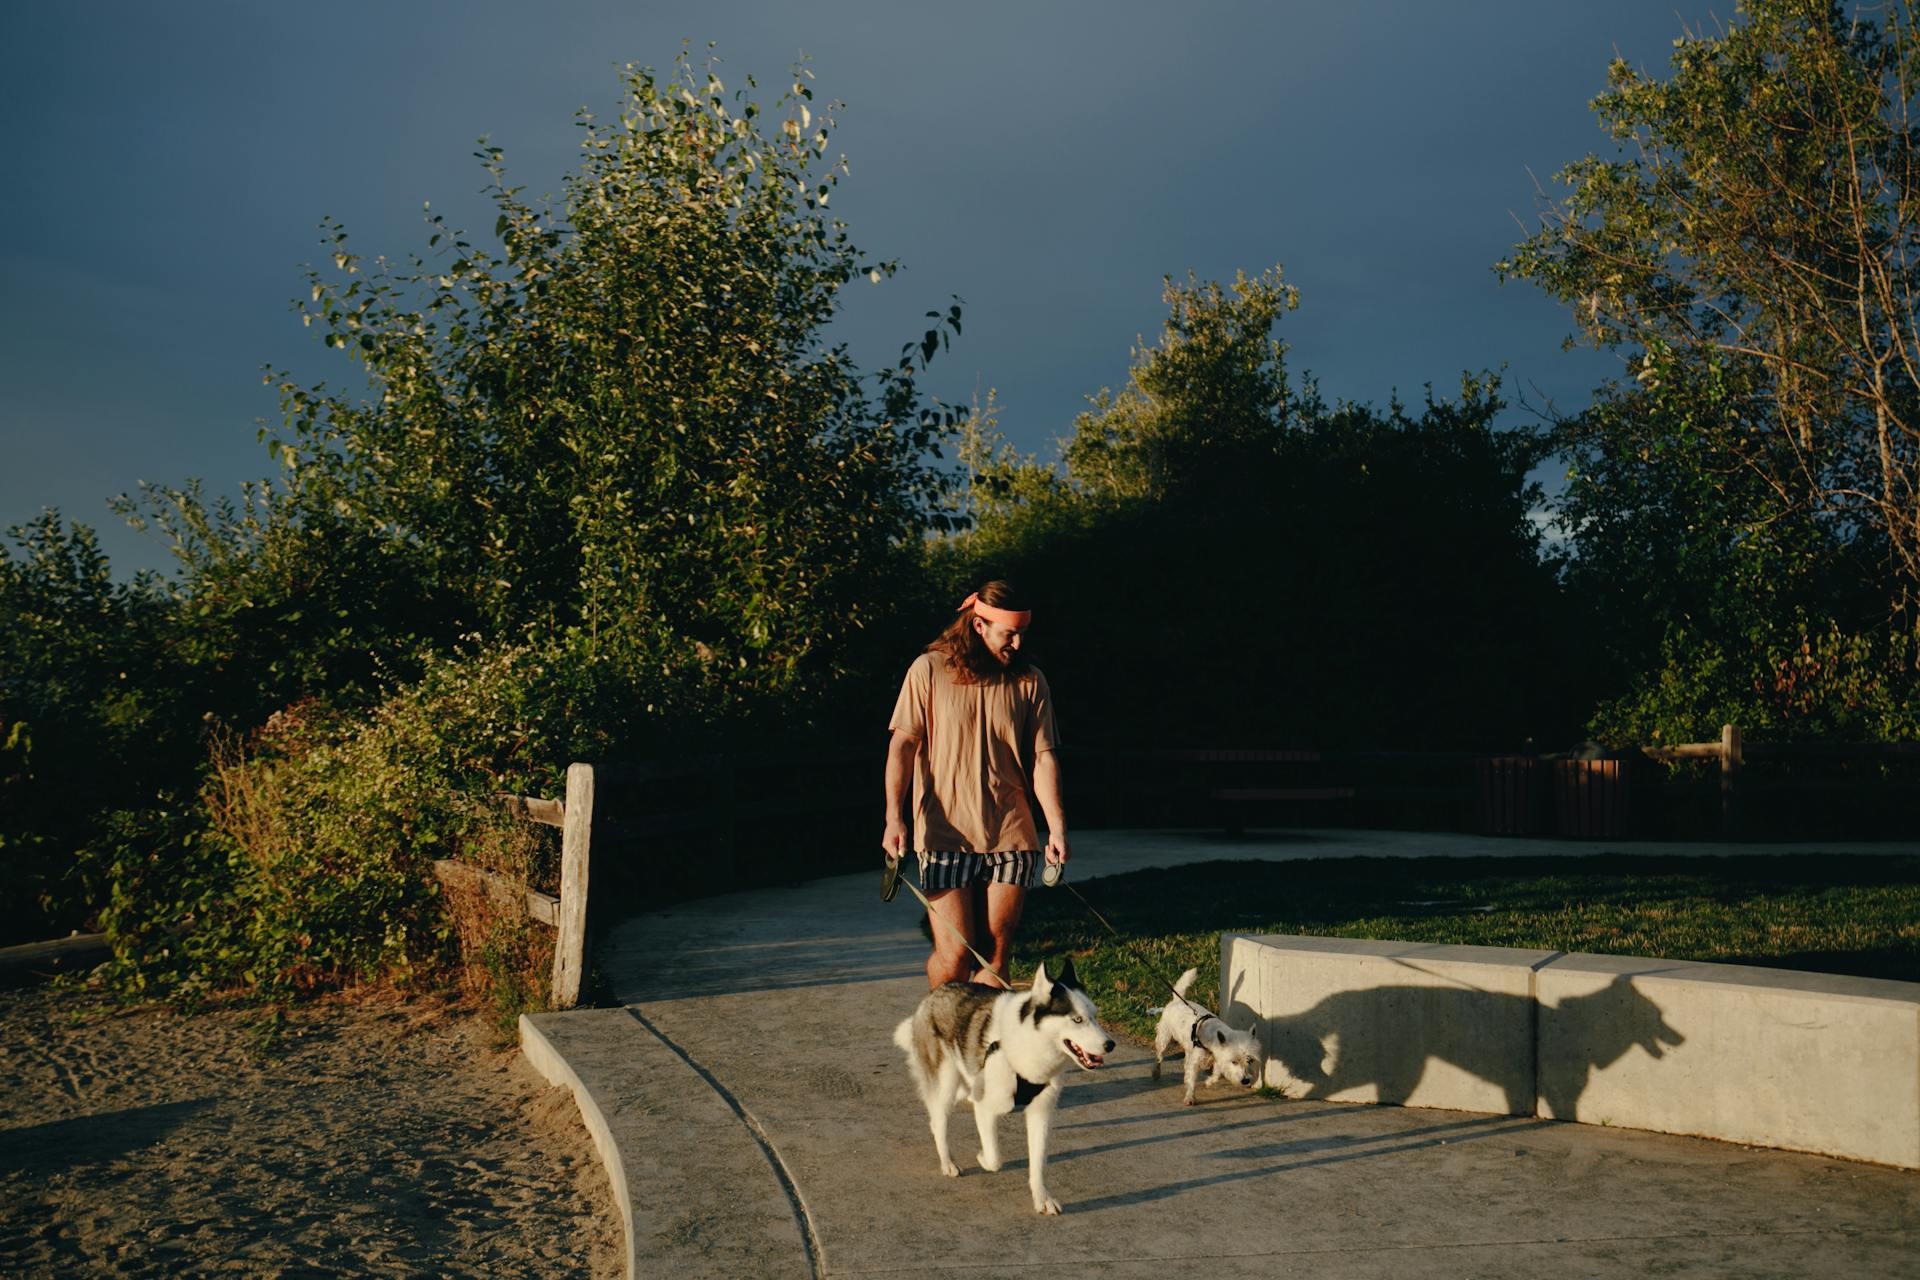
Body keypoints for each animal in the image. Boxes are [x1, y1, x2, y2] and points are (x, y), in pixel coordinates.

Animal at [890, 959, 1121, 1220]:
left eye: (1095, 1016)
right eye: (1077, 1019)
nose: (1110, 1045)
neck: (1030, 1044)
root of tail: (933, 995)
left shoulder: (1041, 1114)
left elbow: (1038, 1164)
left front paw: (1042, 1198)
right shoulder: (986, 1109)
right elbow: (994, 1159)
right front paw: (982, 1157)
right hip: (946, 1083)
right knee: (938, 1122)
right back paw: (947, 1161)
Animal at [1152, 967, 1259, 1105]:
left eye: (1250, 1060)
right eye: (1234, 1062)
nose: (1245, 1080)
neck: (1212, 1039)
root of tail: (1177, 1000)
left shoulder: (1218, 1058)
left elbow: (1216, 1075)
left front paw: (1208, 1082)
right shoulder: (1197, 1060)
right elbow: (1192, 1078)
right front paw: (1190, 1097)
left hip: (1188, 1047)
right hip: (1164, 1036)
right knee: (1159, 1055)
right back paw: (1156, 1072)